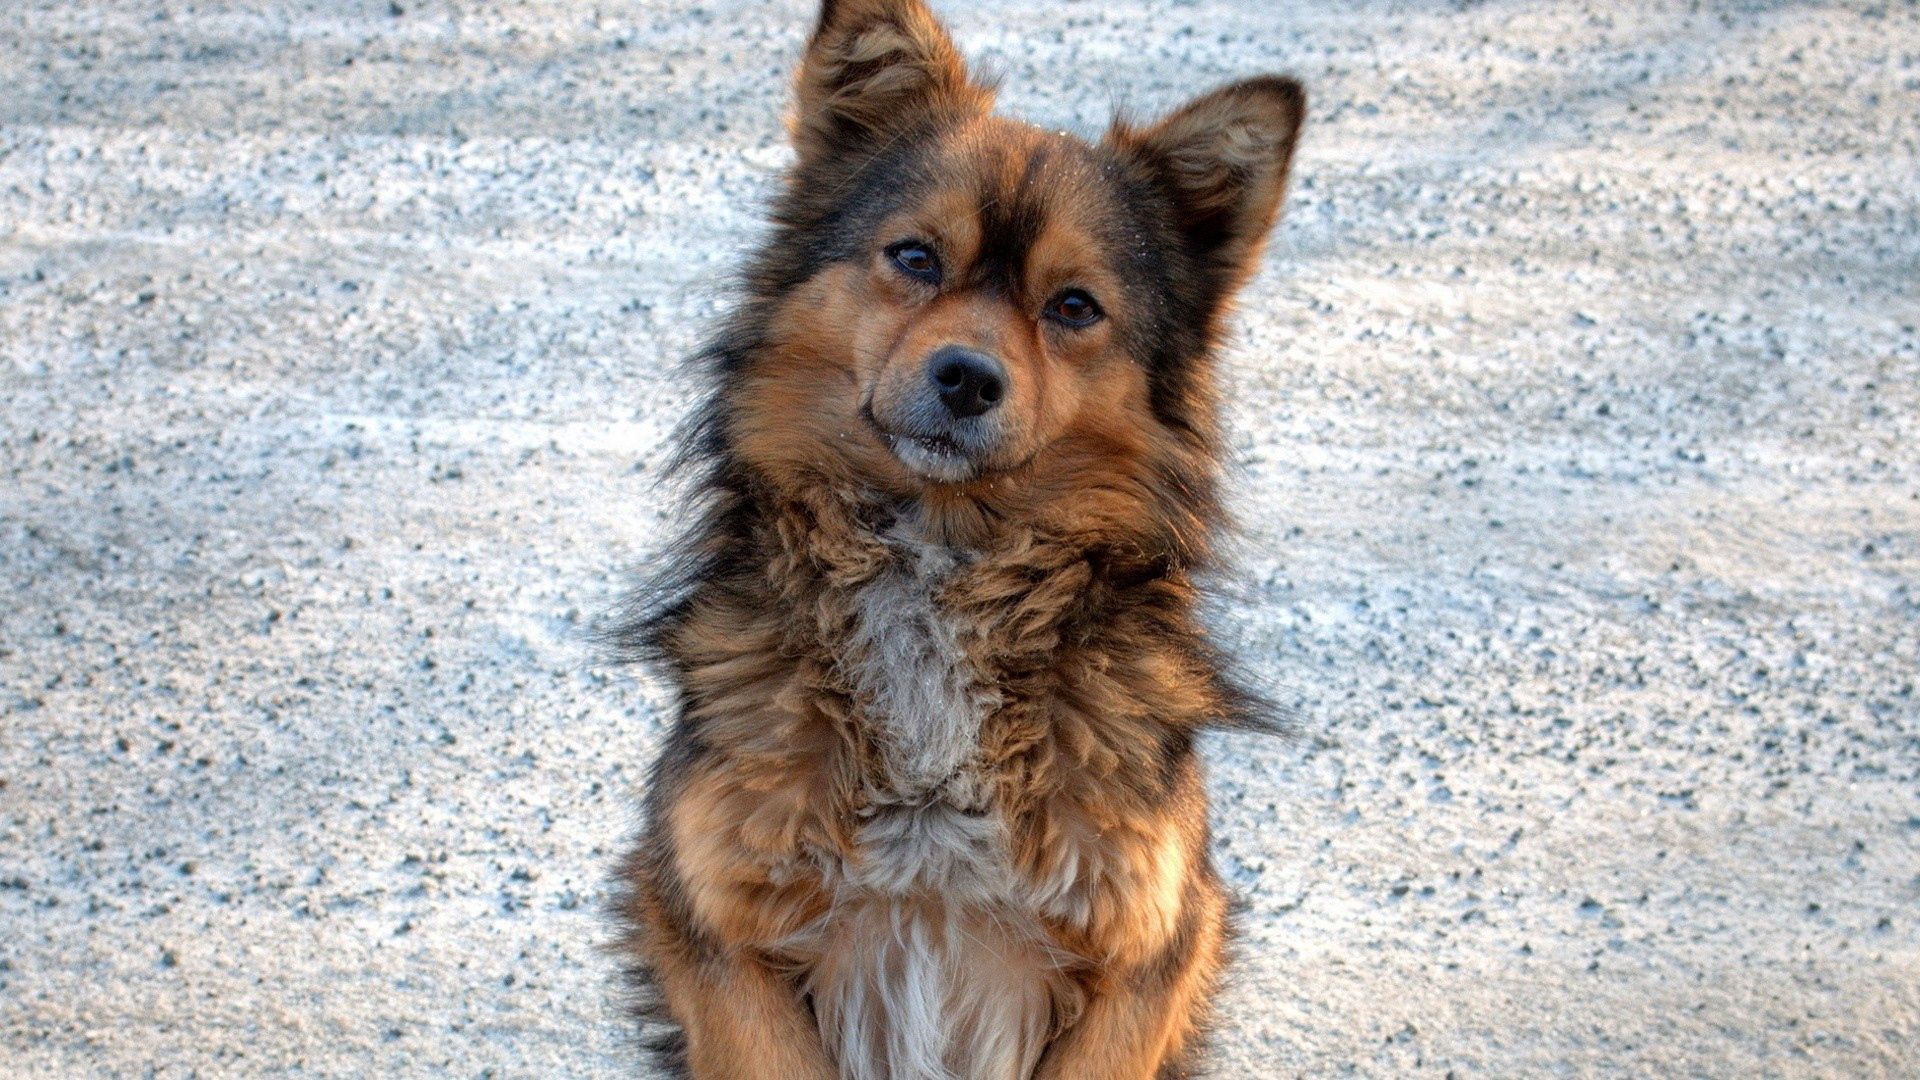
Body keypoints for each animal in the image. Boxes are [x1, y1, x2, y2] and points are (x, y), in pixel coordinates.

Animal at [614, 4, 1305, 1068]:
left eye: (1073, 306)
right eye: (915, 257)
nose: (968, 378)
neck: (943, 571)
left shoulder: (1149, 943)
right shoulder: (712, 924)